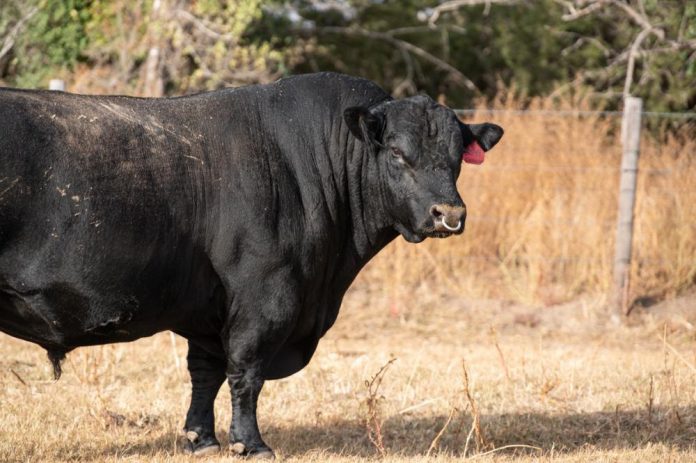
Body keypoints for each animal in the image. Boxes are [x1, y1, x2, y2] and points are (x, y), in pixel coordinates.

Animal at [0, 72, 503, 459]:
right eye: (397, 152)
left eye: (457, 157)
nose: (449, 214)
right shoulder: (267, 294)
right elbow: (246, 371)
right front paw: (251, 443)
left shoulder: (208, 307)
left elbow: (205, 371)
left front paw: (201, 439)